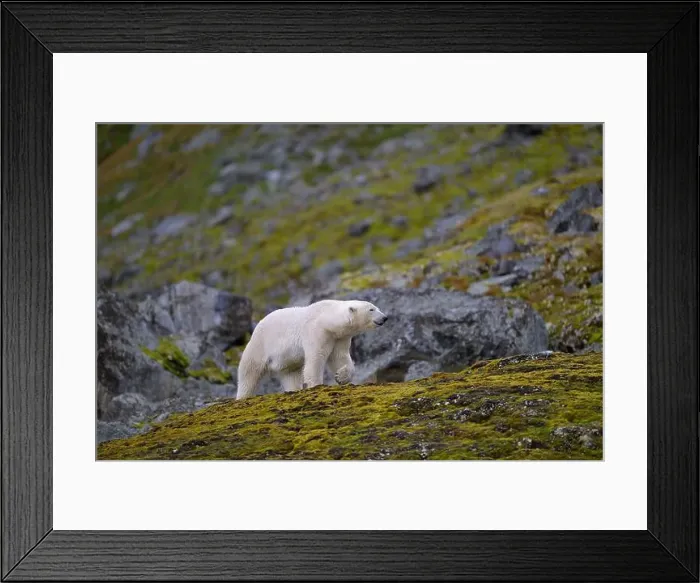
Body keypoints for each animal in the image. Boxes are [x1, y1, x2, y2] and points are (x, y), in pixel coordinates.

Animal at [235, 299, 388, 399]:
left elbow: (340, 358)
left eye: (376, 307)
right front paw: (316, 385)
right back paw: (243, 396)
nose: (385, 317)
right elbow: (316, 358)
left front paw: (341, 377)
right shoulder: (316, 331)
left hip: (286, 362)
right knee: (249, 372)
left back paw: (293, 390)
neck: (327, 318)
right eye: (371, 309)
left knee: (290, 374)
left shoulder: (339, 337)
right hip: (260, 345)